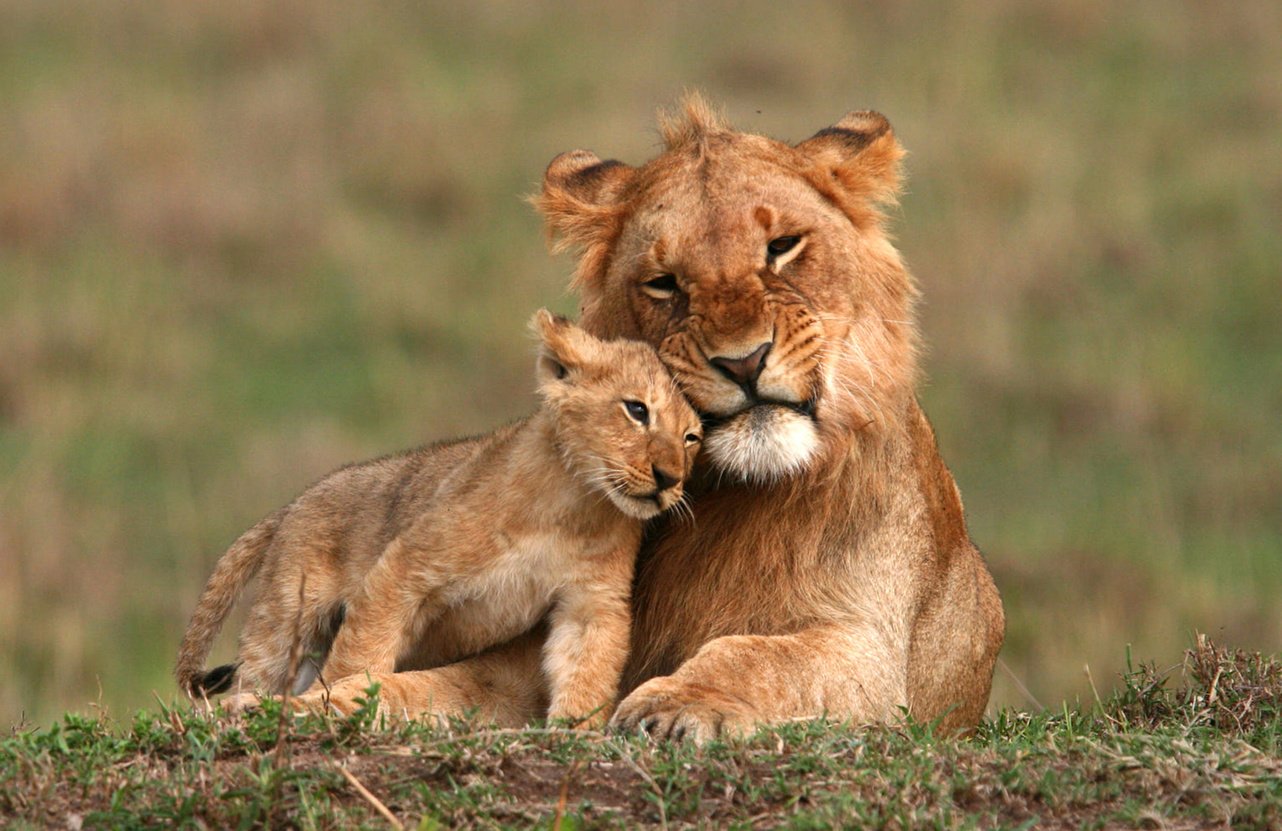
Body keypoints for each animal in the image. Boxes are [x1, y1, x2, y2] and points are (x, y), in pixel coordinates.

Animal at [297, 97, 999, 738]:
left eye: (782, 247)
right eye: (664, 282)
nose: (743, 361)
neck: (736, 494)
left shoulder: (872, 652)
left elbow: (760, 657)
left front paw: (678, 704)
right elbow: (438, 686)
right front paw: (308, 705)